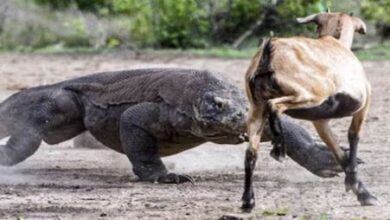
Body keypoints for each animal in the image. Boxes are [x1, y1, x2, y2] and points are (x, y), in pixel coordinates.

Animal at [241, 12, 378, 211]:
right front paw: (364, 194)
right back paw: (279, 150)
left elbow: (337, 150)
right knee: (275, 106)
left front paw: (358, 189)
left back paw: (248, 201)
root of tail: (270, 52)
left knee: (251, 153)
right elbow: (353, 137)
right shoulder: (363, 106)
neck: (336, 44)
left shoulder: (320, 121)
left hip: (256, 109)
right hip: (309, 93)